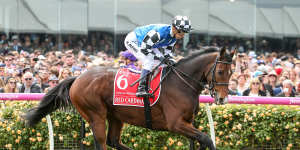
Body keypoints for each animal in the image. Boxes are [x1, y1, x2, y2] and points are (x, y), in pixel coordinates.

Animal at [24, 46, 234, 149]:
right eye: (220, 71)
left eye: (232, 72)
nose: (223, 99)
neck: (181, 82)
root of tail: (78, 78)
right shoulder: (175, 123)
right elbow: (207, 139)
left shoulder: (189, 123)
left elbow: (202, 140)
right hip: (95, 114)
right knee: (102, 143)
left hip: (116, 116)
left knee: (113, 142)